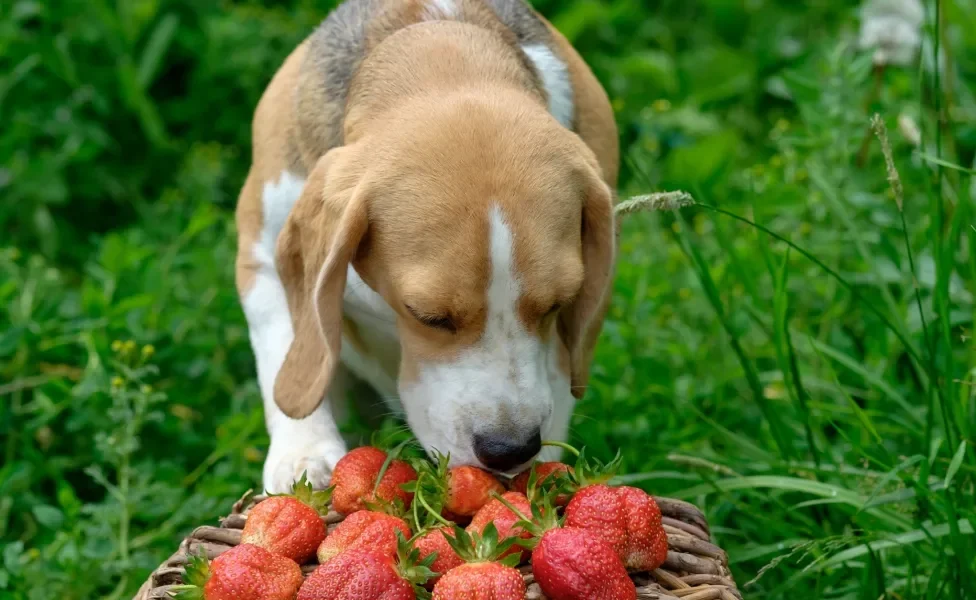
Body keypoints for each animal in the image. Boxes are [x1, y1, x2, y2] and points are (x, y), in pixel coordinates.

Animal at [236, 0, 616, 494]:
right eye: (428, 316)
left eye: (558, 305)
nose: (510, 449)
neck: (439, 46)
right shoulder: (260, 254)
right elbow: (285, 342)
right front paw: (305, 454)